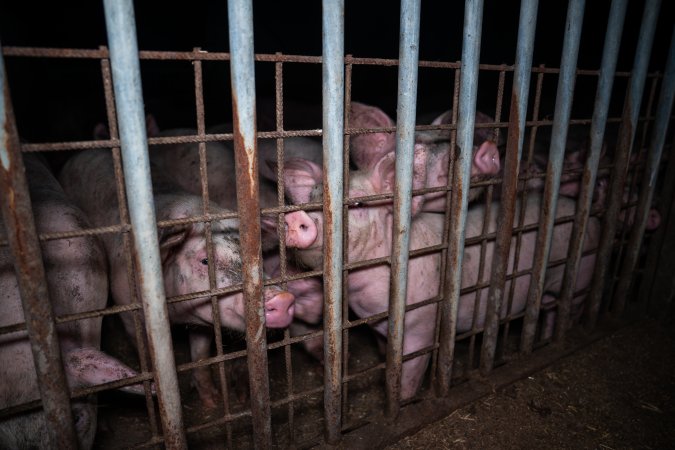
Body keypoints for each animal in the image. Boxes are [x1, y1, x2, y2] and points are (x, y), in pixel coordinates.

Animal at [59, 149, 298, 408]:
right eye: (205, 261)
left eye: (258, 257)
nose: (282, 298)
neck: (177, 314)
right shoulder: (130, 310)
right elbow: (148, 355)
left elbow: (201, 355)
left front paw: (212, 402)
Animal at [280, 149, 604, 400]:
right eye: (310, 199)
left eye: (358, 204)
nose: (297, 217)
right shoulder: (380, 328)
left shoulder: (422, 325)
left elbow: (409, 374)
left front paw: (403, 402)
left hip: (582, 272)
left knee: (569, 308)